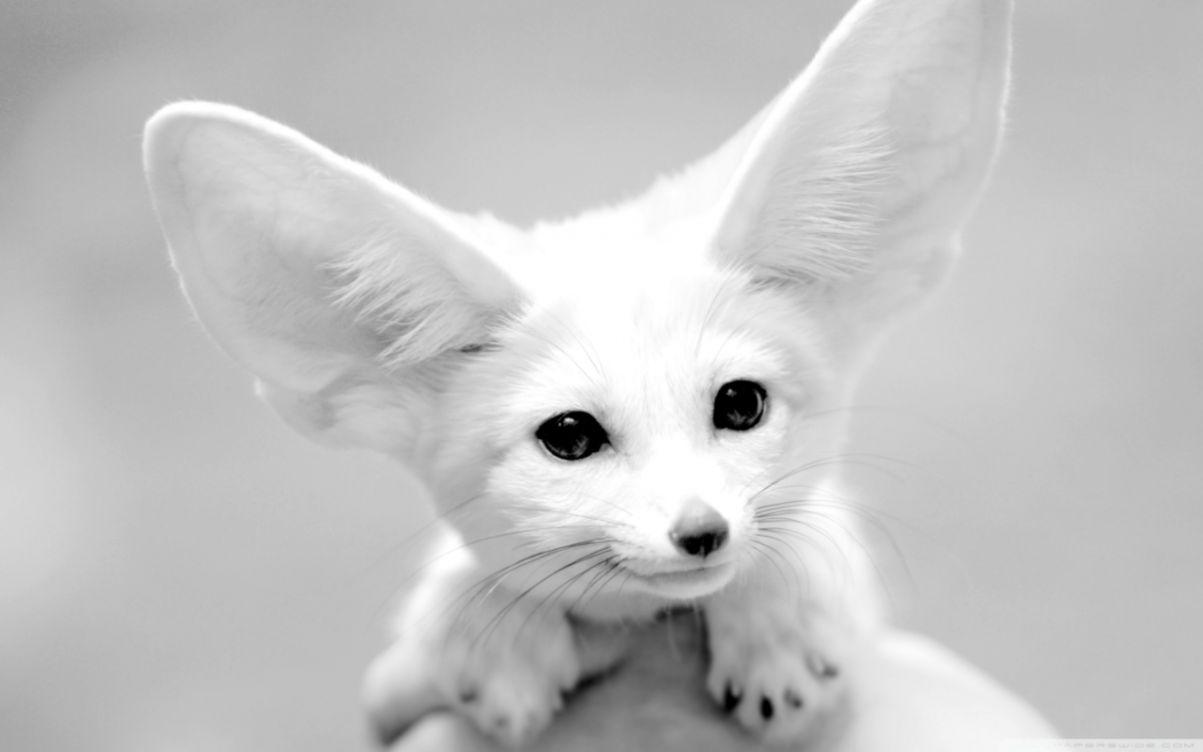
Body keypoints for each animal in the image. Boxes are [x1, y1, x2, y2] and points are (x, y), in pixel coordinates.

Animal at [143, 0, 1012, 746]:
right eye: (569, 435)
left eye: (740, 404)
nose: (701, 532)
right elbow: (468, 582)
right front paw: (492, 632)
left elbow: (800, 534)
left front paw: (776, 620)